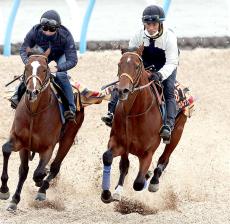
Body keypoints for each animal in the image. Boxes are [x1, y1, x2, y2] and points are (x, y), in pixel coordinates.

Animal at [0, 47, 84, 210]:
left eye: (44, 69)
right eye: (26, 67)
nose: (32, 91)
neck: (34, 112)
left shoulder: (48, 148)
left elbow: (39, 172)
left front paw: (39, 182)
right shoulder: (20, 142)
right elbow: (9, 153)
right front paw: (6, 192)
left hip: (68, 139)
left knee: (55, 167)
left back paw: (42, 190)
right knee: (26, 170)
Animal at [101, 46, 188, 202]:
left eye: (137, 66)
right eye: (119, 64)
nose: (122, 90)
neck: (134, 113)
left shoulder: (148, 152)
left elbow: (139, 183)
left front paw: (147, 176)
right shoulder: (119, 143)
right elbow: (109, 157)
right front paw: (107, 193)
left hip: (177, 132)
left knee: (164, 159)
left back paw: (153, 181)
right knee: (124, 165)